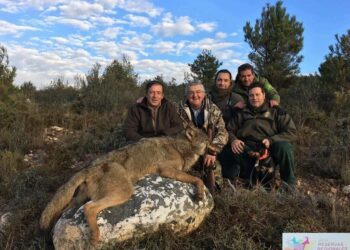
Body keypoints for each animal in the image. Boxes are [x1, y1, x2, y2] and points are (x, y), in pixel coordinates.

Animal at [39, 125, 212, 244]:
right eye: (207, 141)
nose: (216, 148)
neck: (180, 146)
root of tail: (89, 168)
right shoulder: (167, 170)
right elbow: (198, 179)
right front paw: (200, 193)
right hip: (124, 192)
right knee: (89, 208)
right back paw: (95, 237)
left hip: (78, 199)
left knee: (65, 212)